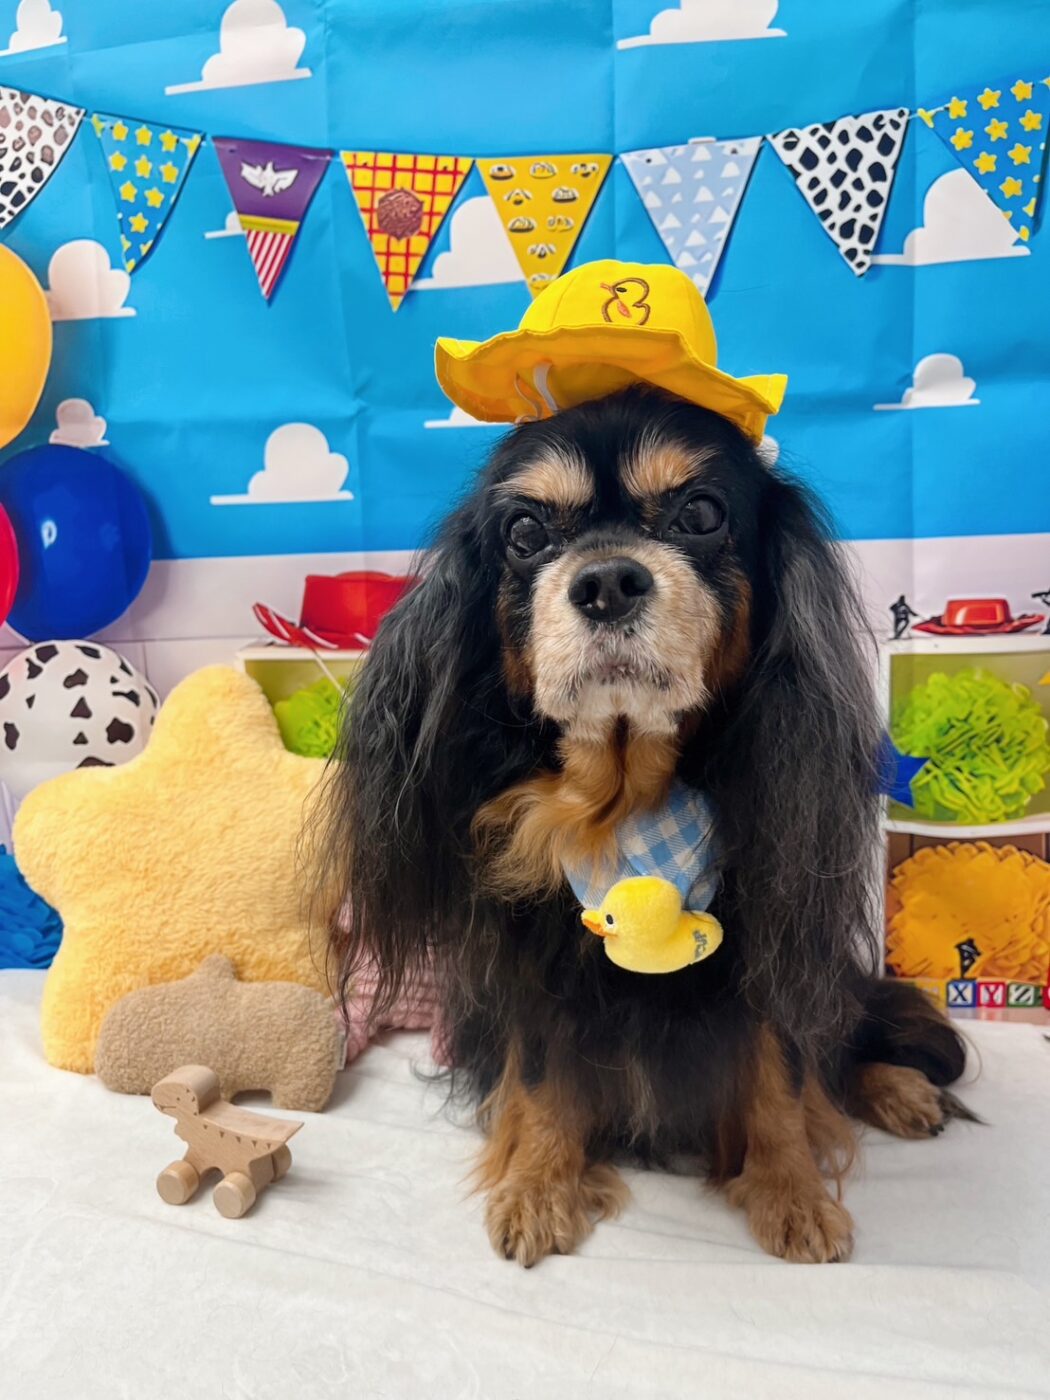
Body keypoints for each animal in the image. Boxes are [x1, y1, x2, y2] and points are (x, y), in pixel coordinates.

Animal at [322, 385, 970, 1265]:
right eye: (524, 534)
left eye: (701, 513)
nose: (605, 581)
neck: (628, 811)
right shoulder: (534, 965)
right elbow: (541, 1077)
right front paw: (540, 1186)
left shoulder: (771, 950)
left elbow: (781, 1075)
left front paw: (791, 1192)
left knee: (840, 1040)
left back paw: (900, 1089)